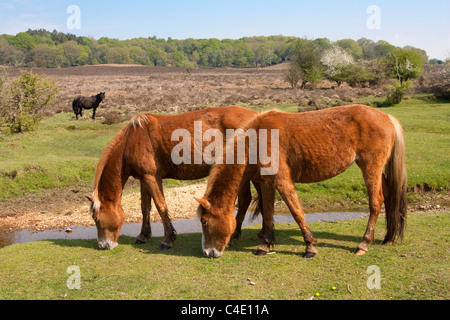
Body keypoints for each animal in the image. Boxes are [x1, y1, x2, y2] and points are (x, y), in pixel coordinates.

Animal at [197, 104, 408, 258]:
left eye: (205, 222)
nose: (208, 252)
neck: (257, 139)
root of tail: (386, 117)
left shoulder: (282, 180)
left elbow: (296, 211)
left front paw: (310, 246)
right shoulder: (267, 183)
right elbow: (268, 212)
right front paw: (265, 244)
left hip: (370, 168)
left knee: (375, 202)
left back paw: (363, 243)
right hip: (376, 171)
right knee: (389, 195)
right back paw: (388, 237)